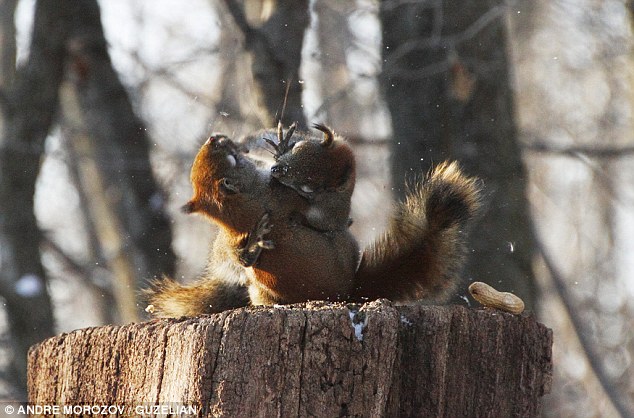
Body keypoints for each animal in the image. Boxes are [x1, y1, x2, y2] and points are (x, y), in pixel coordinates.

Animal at [143, 125, 478, 318]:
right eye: (231, 161)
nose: (215, 138)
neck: (242, 206)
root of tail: (347, 293)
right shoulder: (288, 199)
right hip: (345, 244)